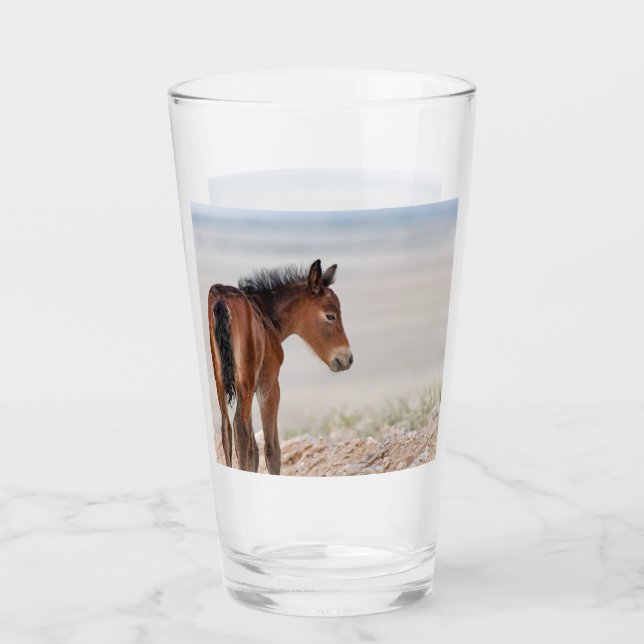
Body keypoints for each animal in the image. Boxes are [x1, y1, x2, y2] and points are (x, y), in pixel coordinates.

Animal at [207, 259, 353, 474]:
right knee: (240, 430)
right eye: (330, 316)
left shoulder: (252, 385)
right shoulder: (268, 383)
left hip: (222, 381)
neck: (265, 315)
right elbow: (271, 449)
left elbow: (253, 449)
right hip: (246, 384)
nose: (347, 358)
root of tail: (221, 299)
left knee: (227, 429)